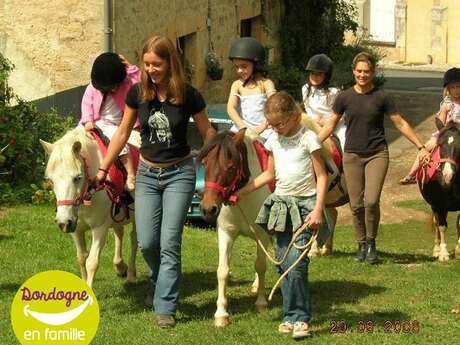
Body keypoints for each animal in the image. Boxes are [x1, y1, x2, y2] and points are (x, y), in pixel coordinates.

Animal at [40, 126, 137, 288]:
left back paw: (130, 275)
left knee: (134, 238)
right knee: (119, 232)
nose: (63, 222)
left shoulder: (100, 228)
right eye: (50, 180)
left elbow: (92, 262)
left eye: (77, 178)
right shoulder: (75, 229)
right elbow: (81, 257)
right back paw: (120, 266)